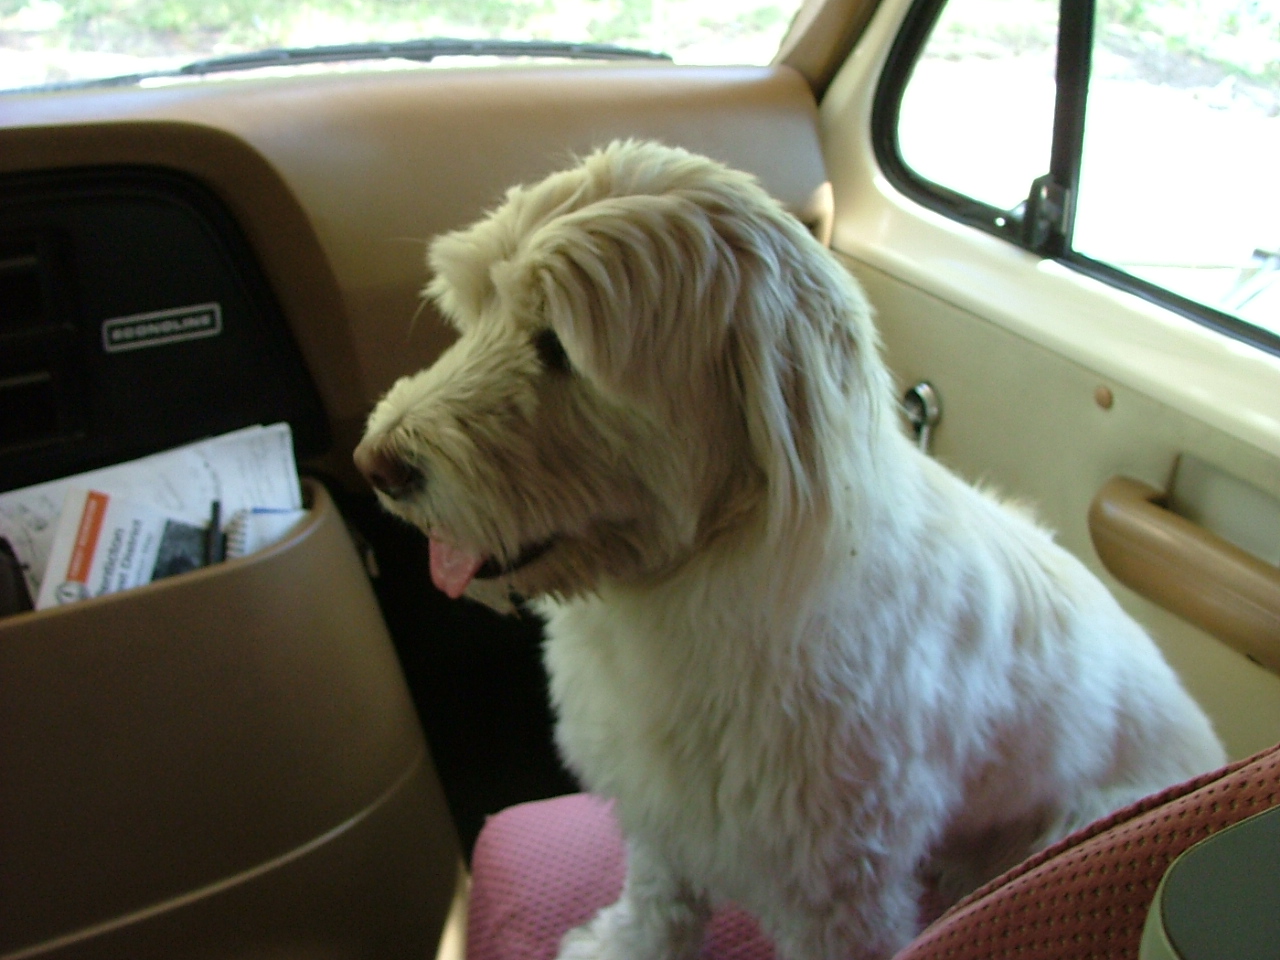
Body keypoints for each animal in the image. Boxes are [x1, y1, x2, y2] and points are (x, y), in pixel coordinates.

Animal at [355, 140, 1223, 960]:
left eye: (560, 348)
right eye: (475, 308)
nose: (376, 464)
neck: (693, 579)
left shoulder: (840, 885)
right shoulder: (663, 804)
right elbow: (661, 896)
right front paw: (630, 947)